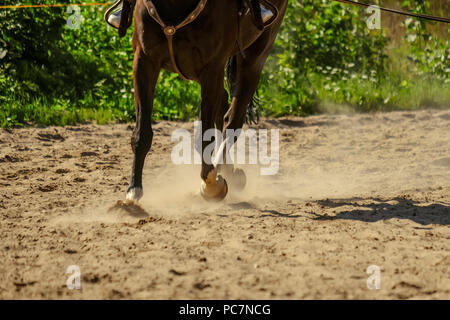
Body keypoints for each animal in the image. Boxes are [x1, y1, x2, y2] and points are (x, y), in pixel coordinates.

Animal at [125, 0, 288, 202]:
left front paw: (211, 184)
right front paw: (134, 189)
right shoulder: (144, 61)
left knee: (232, 118)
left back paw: (221, 170)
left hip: (255, 56)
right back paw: (228, 169)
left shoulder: (212, 68)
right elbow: (142, 132)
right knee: (224, 102)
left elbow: (206, 134)